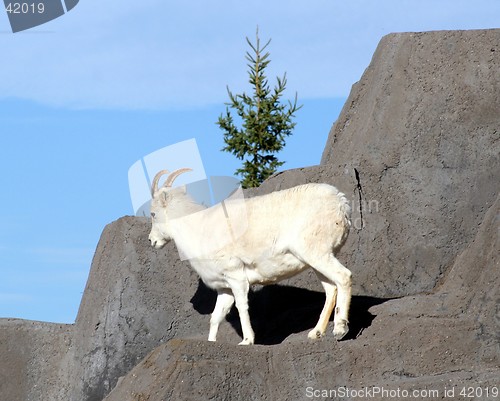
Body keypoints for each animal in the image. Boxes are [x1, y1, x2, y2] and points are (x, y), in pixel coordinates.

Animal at [148, 168, 352, 344]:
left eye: (153, 213)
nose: (152, 241)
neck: (198, 228)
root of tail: (340, 203)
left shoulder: (236, 278)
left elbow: (241, 308)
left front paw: (247, 341)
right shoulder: (225, 288)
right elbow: (216, 317)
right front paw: (212, 342)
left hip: (317, 254)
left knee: (344, 277)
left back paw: (340, 330)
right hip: (317, 261)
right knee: (331, 289)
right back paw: (316, 333)